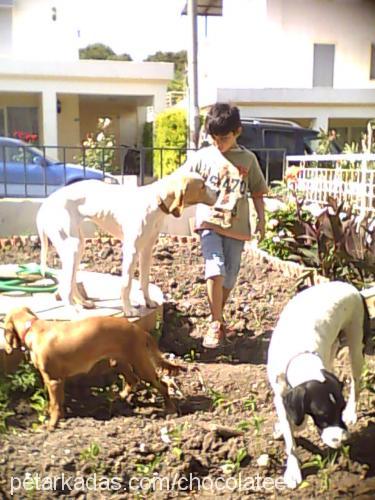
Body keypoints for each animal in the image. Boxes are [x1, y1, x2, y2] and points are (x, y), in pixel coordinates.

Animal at [2, 306, 185, 428]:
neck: (33, 328)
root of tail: (139, 330)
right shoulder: (60, 380)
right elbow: (60, 402)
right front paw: (62, 417)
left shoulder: (52, 381)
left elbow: (54, 404)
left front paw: (51, 424)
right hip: (117, 362)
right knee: (133, 380)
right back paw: (121, 398)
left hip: (141, 365)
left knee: (162, 385)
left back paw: (169, 409)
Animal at [37, 174, 217, 316]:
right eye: (202, 185)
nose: (218, 192)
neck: (156, 201)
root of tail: (46, 203)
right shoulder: (131, 250)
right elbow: (127, 284)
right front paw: (128, 310)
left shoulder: (146, 250)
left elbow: (144, 280)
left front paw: (148, 302)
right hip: (72, 246)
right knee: (65, 285)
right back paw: (73, 310)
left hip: (78, 246)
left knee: (71, 279)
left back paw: (83, 303)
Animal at [268, 282, 372, 488]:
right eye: (323, 414)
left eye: (340, 408)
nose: (344, 439)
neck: (299, 356)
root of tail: (353, 288)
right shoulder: (279, 396)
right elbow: (291, 430)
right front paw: (293, 469)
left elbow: (297, 423)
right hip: (333, 348)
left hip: (356, 346)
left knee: (356, 382)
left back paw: (352, 412)